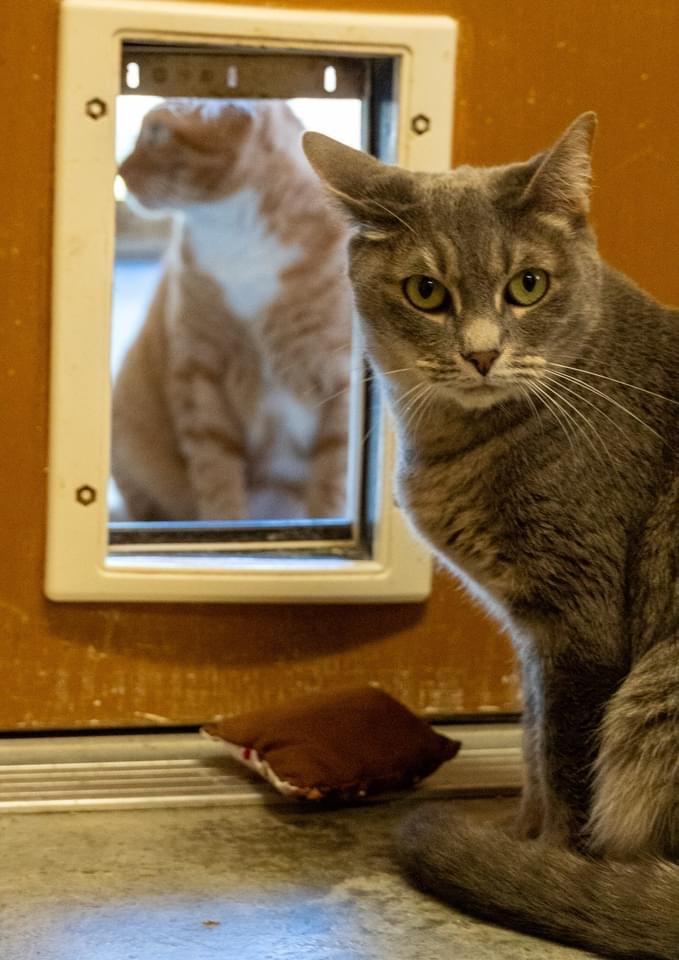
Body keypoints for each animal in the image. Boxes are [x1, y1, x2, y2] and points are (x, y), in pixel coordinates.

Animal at [112, 101, 354, 520]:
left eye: (156, 132)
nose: (119, 170)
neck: (239, 236)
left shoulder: (341, 381)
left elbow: (330, 482)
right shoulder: (200, 373)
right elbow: (217, 477)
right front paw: (222, 525)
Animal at [304, 114, 679, 960]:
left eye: (527, 285)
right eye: (425, 291)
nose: (480, 352)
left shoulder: (580, 626)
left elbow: (568, 764)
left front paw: (552, 864)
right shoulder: (532, 634)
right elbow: (536, 749)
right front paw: (521, 840)